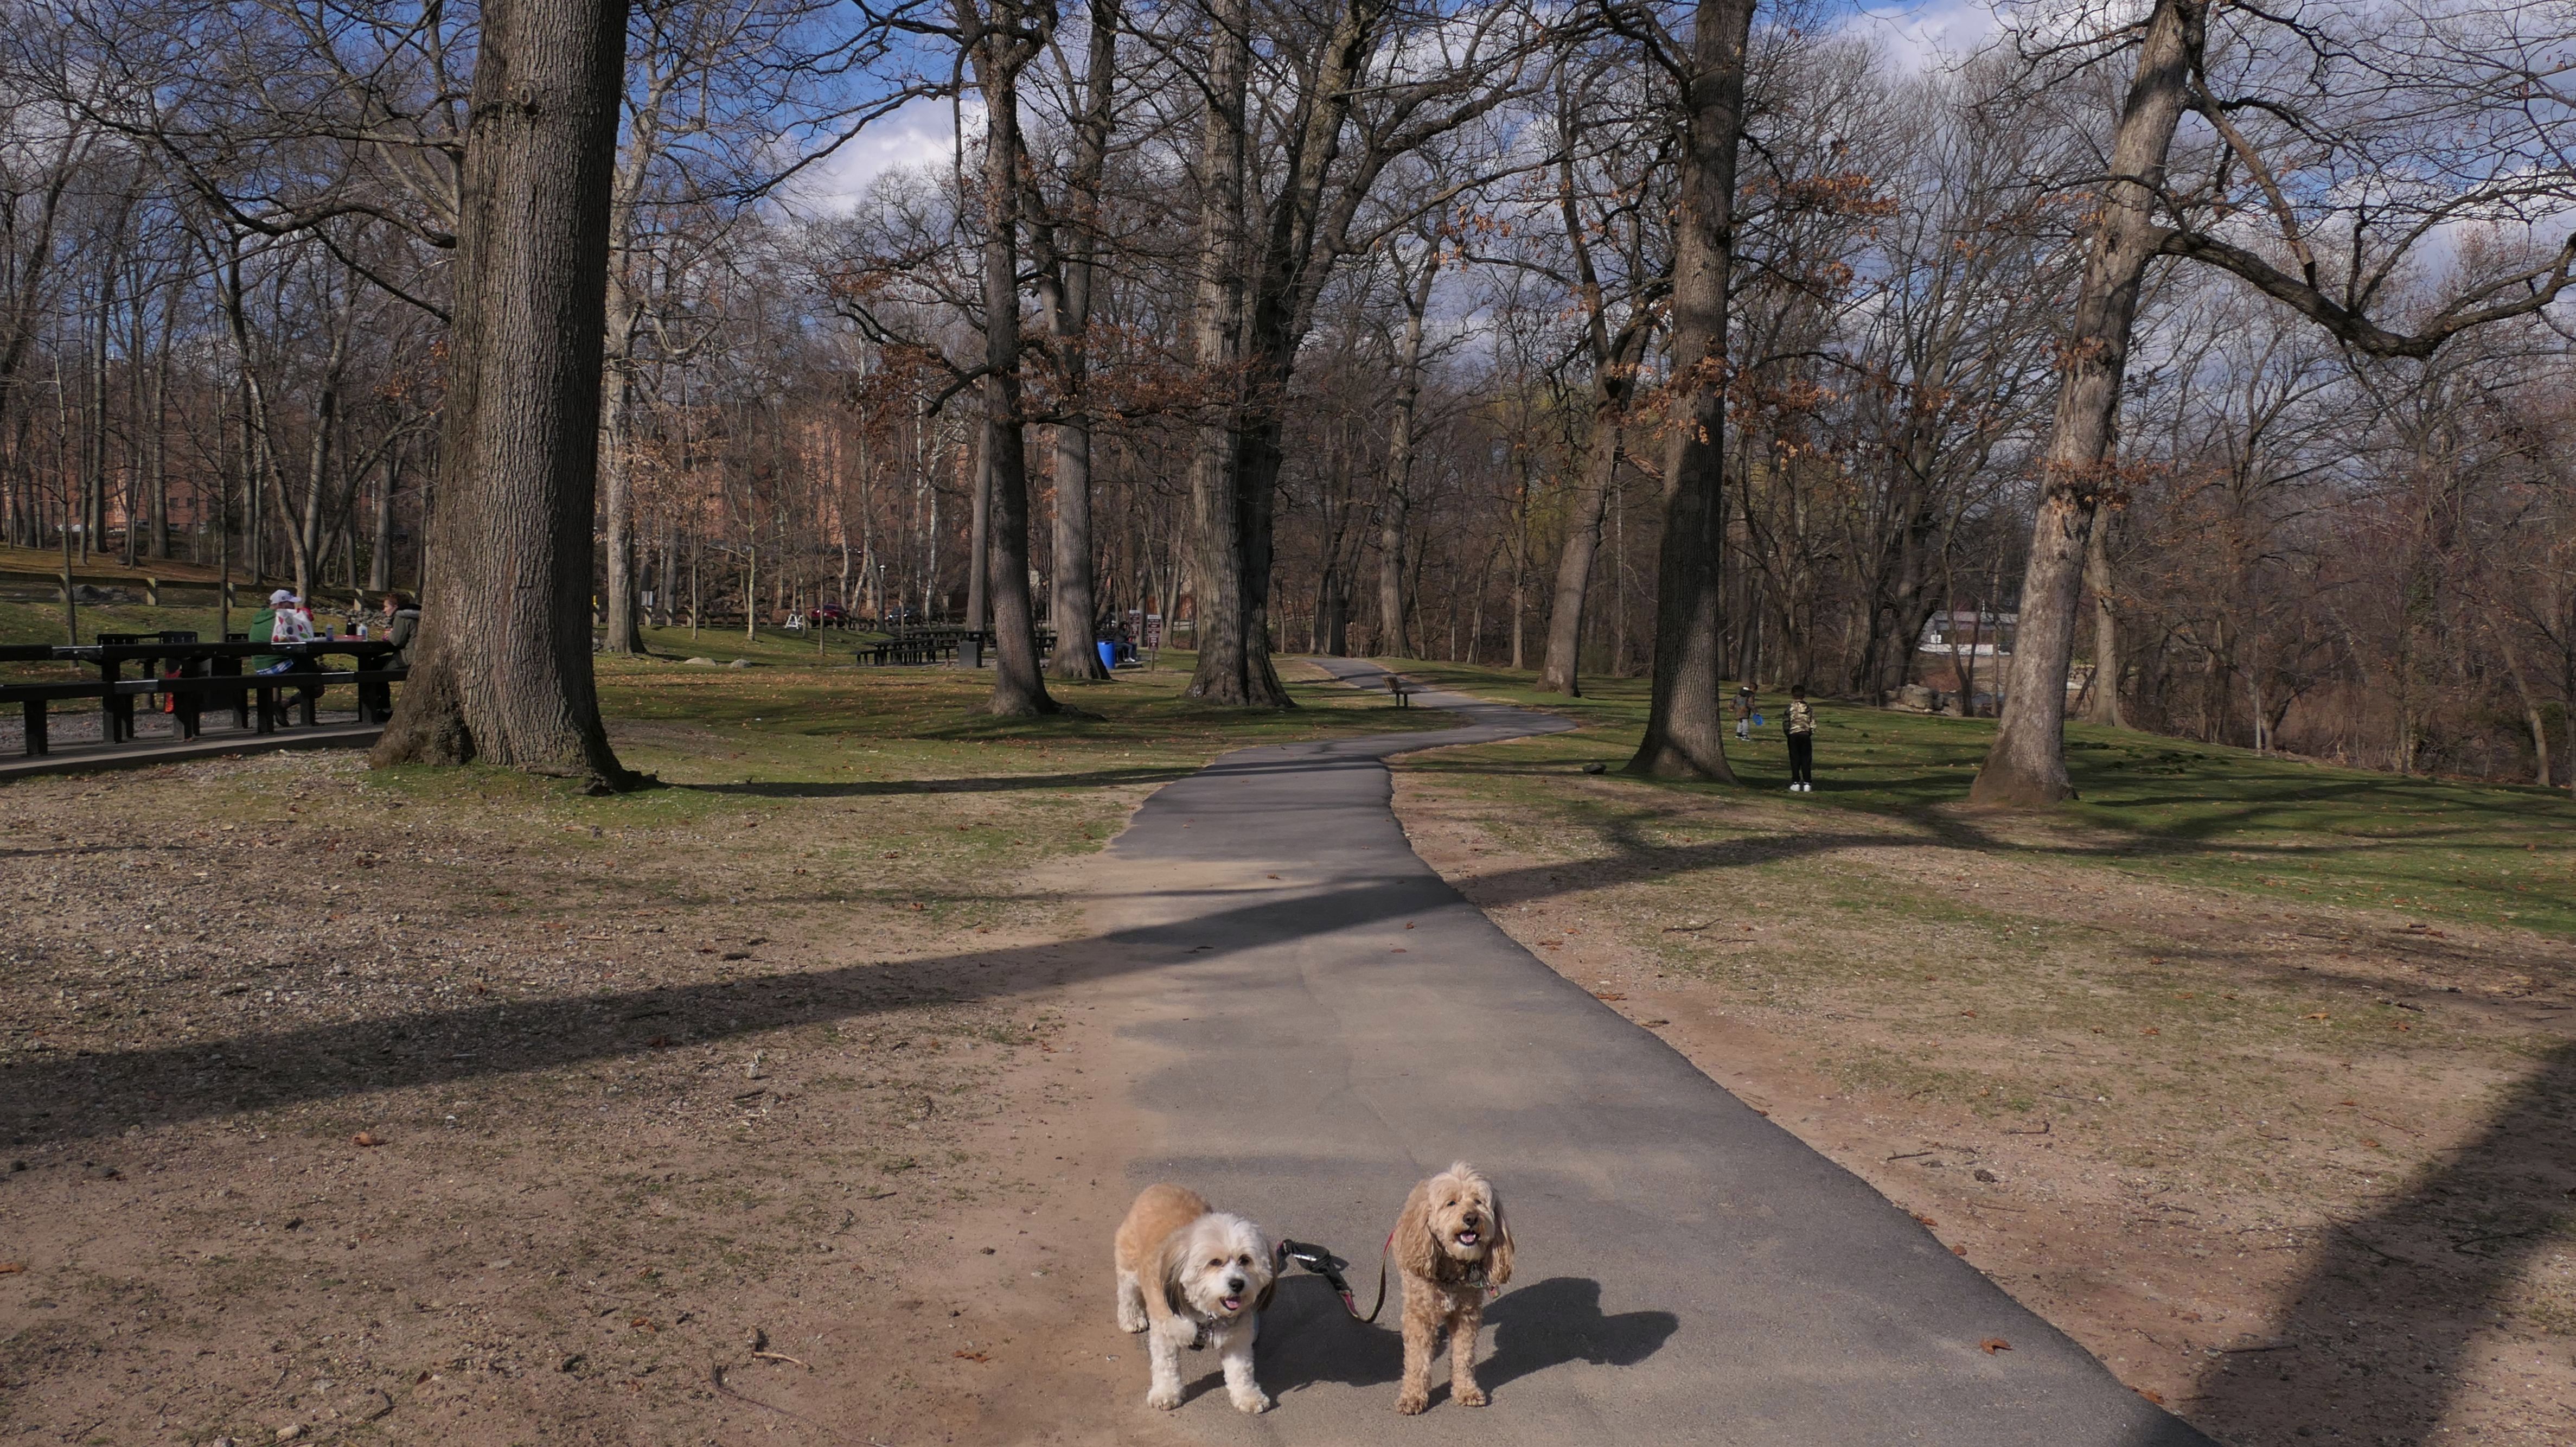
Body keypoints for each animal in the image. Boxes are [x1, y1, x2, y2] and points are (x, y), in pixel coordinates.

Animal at [1112, 1183, 1276, 1413]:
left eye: (1245, 1260)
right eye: (1215, 1262)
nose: (1237, 1284)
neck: (1207, 1315)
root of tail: (1161, 1185)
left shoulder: (1238, 1339)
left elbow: (1241, 1371)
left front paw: (1248, 1396)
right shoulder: (1164, 1332)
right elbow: (1165, 1366)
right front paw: (1165, 1393)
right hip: (1129, 1264)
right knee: (1127, 1292)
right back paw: (1132, 1318)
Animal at [1392, 1161, 1514, 1414]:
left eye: (1478, 1202)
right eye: (1451, 1203)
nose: (1471, 1218)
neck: (1451, 1271)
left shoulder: (1466, 1315)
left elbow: (1463, 1356)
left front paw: (1466, 1390)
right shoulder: (1419, 1316)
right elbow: (1417, 1360)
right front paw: (1412, 1396)